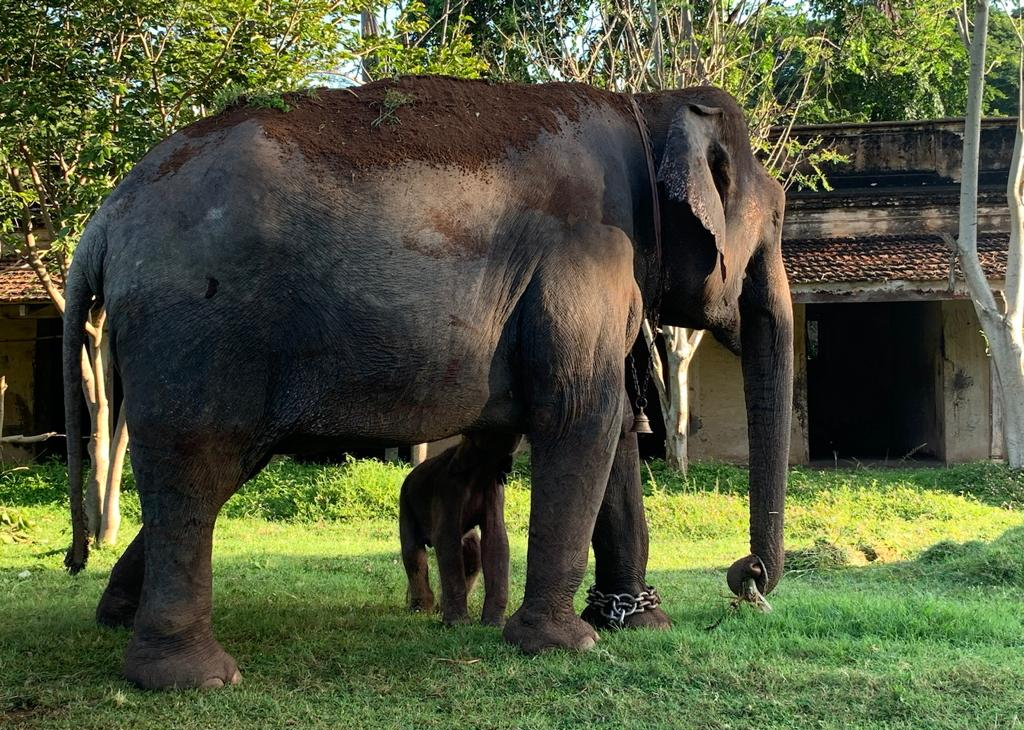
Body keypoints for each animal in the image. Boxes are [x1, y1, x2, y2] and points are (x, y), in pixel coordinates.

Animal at [395, 432, 516, 626]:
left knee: (473, 552)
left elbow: (496, 539)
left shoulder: (495, 489)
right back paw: (421, 609)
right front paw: (458, 624)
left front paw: (494, 624)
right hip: (406, 503)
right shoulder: (448, 488)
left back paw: (438, 608)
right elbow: (445, 538)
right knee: (412, 550)